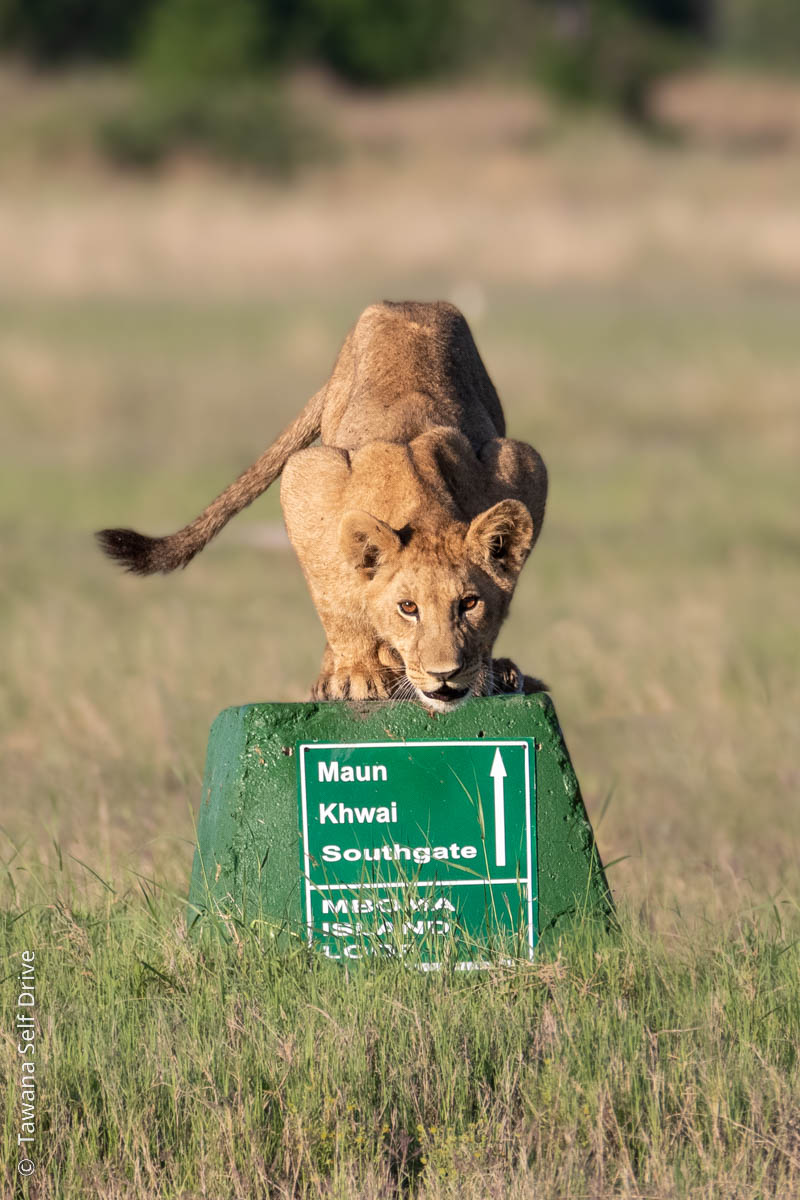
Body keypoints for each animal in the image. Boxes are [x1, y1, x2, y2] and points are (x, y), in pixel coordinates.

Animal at [97, 302, 546, 710]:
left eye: (469, 603)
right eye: (408, 607)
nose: (445, 675)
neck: (425, 502)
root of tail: (407, 302)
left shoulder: (521, 465)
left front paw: (485, 671)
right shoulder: (307, 475)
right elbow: (335, 600)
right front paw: (356, 676)